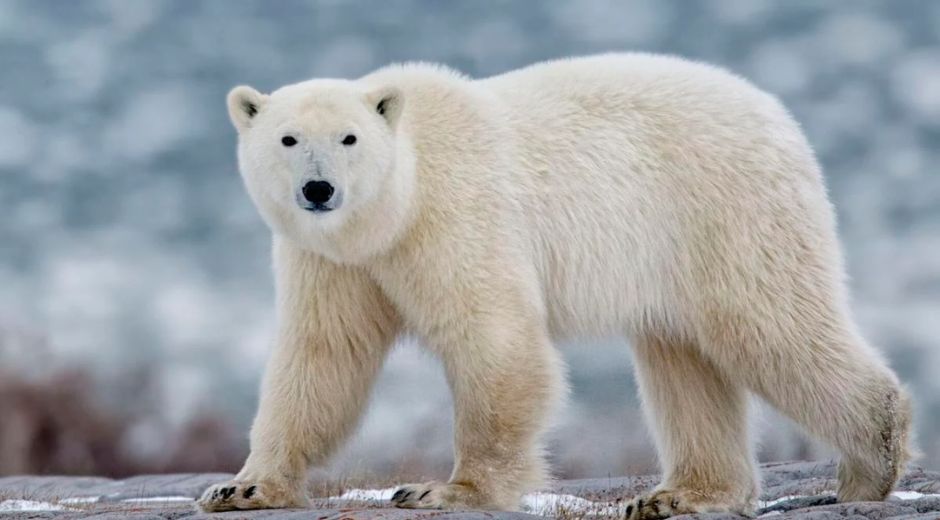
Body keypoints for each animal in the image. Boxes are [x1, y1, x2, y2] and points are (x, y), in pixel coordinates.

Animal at [197, 53, 913, 519]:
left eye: (349, 138)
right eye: (288, 138)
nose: (319, 190)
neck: (396, 206)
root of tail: (777, 115)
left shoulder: (456, 217)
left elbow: (493, 340)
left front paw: (444, 491)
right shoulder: (332, 260)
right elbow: (322, 356)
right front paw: (241, 488)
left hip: (725, 211)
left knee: (769, 326)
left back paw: (869, 465)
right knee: (683, 359)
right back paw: (681, 494)